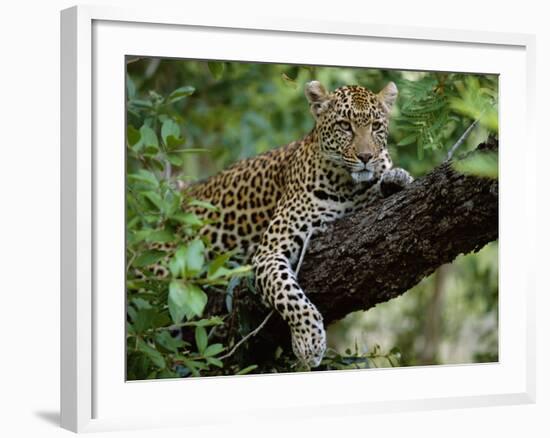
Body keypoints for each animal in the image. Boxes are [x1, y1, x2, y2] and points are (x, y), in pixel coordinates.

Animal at [144, 80, 412, 368]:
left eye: (376, 126)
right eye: (344, 126)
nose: (366, 156)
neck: (348, 186)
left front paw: (396, 178)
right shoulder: (269, 252)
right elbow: (290, 296)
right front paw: (309, 342)